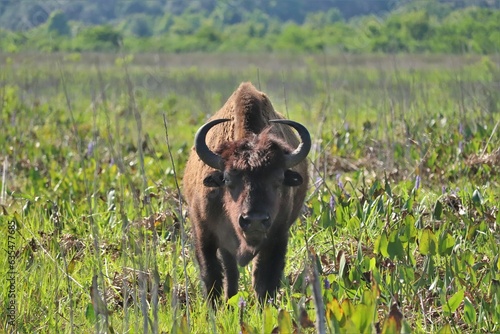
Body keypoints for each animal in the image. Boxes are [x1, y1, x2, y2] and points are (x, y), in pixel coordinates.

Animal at [182, 81, 310, 306]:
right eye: (227, 179)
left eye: (278, 180)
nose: (255, 220)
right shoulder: (203, 232)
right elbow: (212, 275)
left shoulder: (277, 237)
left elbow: (265, 279)